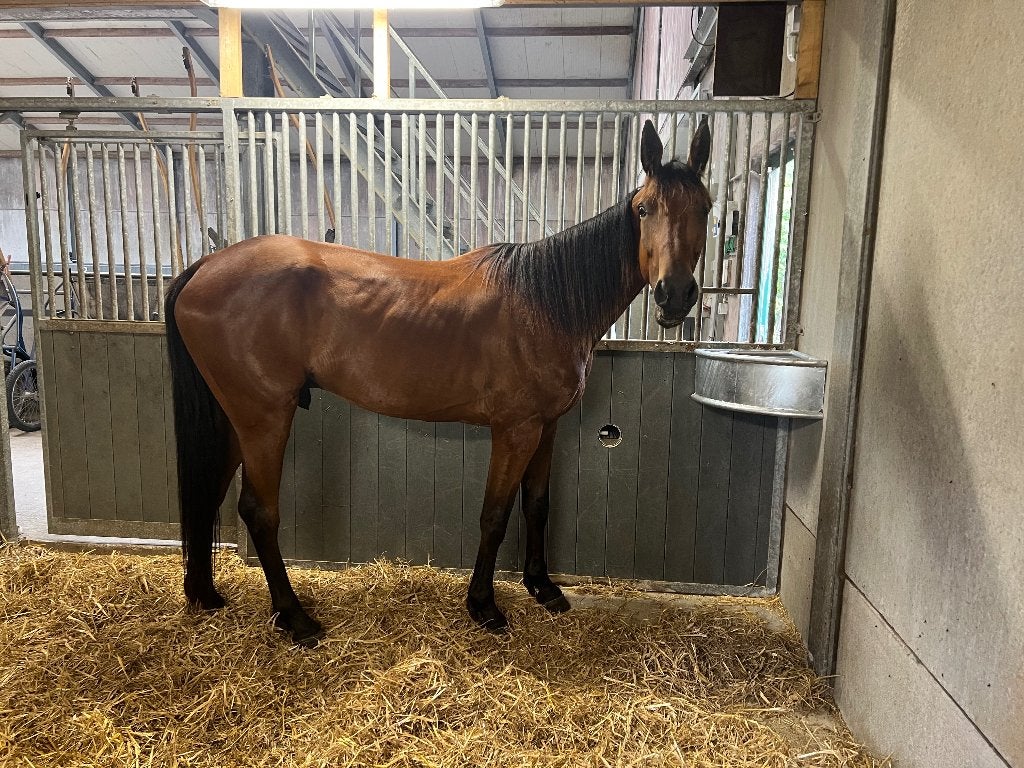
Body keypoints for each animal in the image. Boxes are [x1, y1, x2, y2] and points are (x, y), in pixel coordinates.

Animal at [165, 117, 712, 645]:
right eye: (643, 209)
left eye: (705, 209)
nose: (675, 295)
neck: (546, 302)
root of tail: (205, 265)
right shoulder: (515, 430)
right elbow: (495, 514)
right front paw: (484, 606)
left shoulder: (546, 427)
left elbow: (537, 505)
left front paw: (543, 587)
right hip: (264, 418)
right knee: (259, 510)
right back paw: (295, 619)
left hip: (234, 419)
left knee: (209, 494)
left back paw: (206, 595)